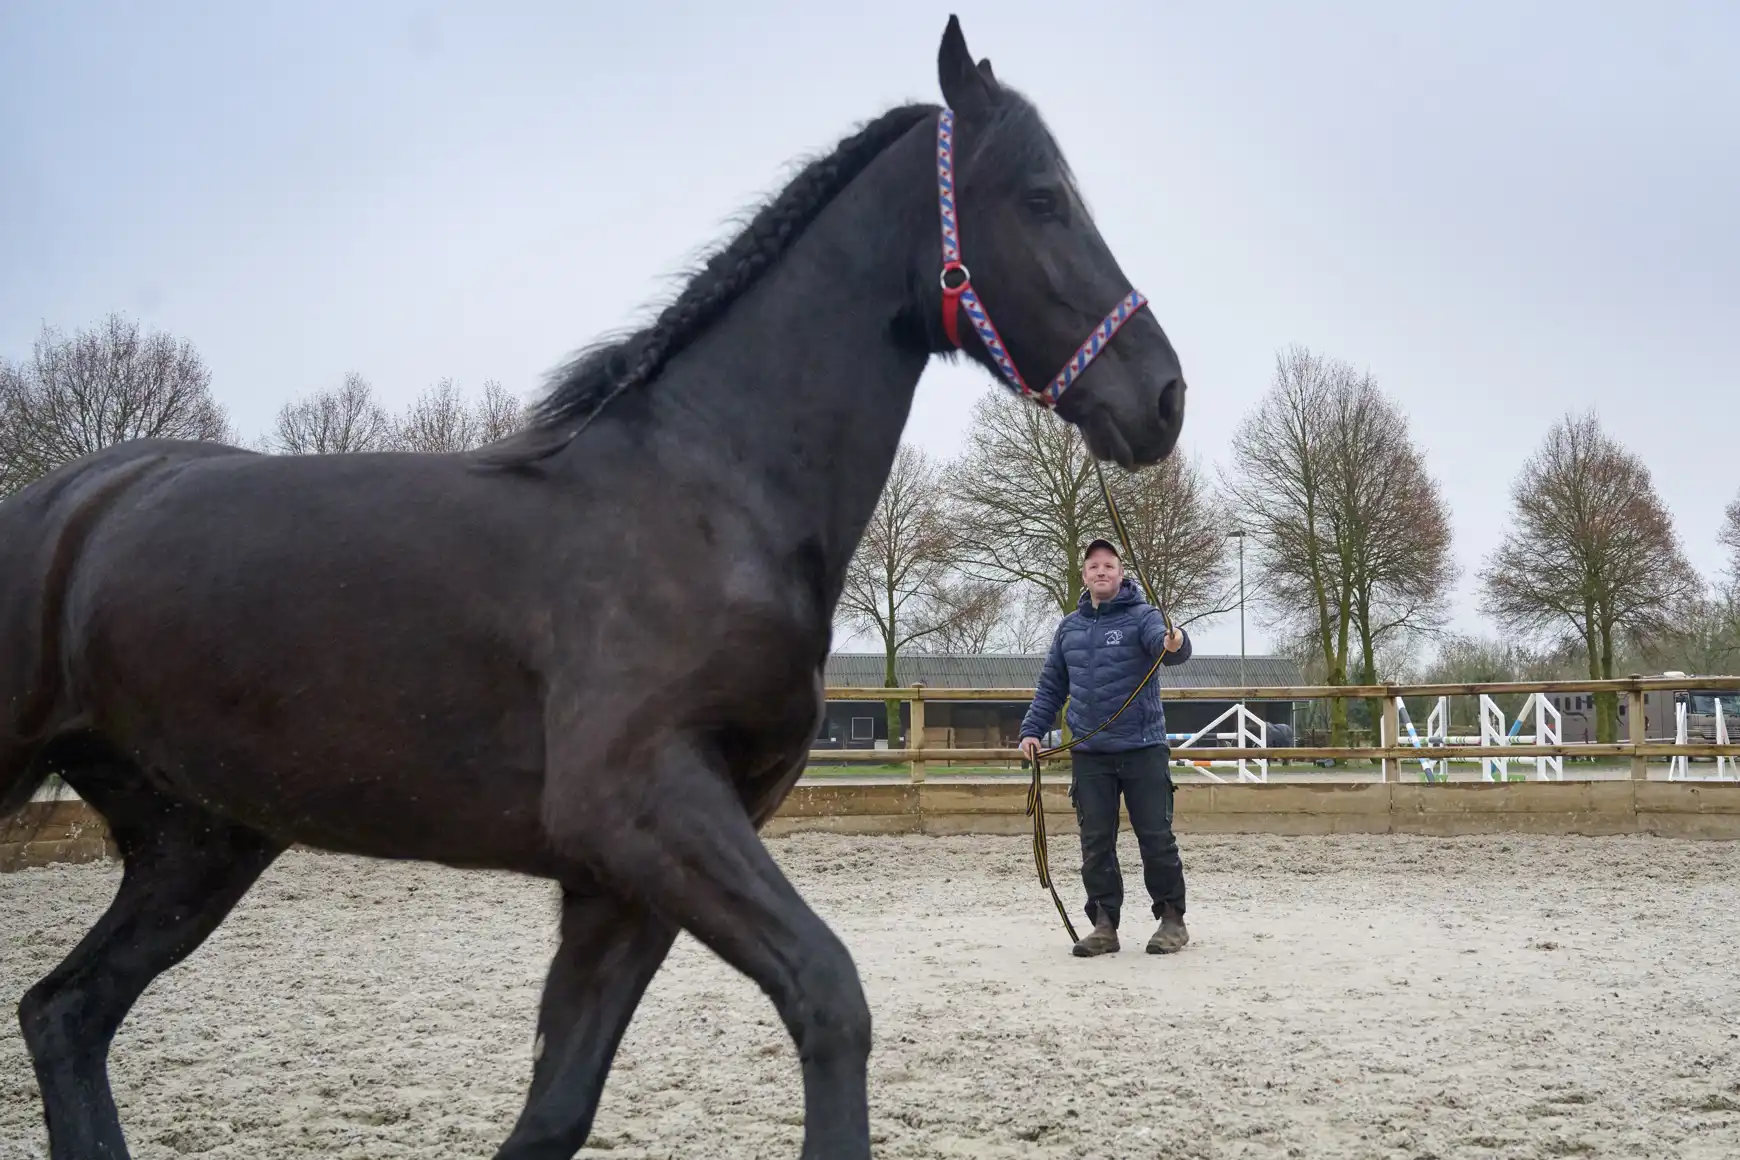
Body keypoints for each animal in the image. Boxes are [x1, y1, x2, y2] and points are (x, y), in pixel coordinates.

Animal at [0, 16, 1187, 1159]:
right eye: (1042, 198)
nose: (1164, 396)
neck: (711, 493)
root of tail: (68, 504)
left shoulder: (622, 881)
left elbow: (553, 1111)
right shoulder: (641, 810)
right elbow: (830, 998)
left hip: (200, 841)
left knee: (64, 1011)